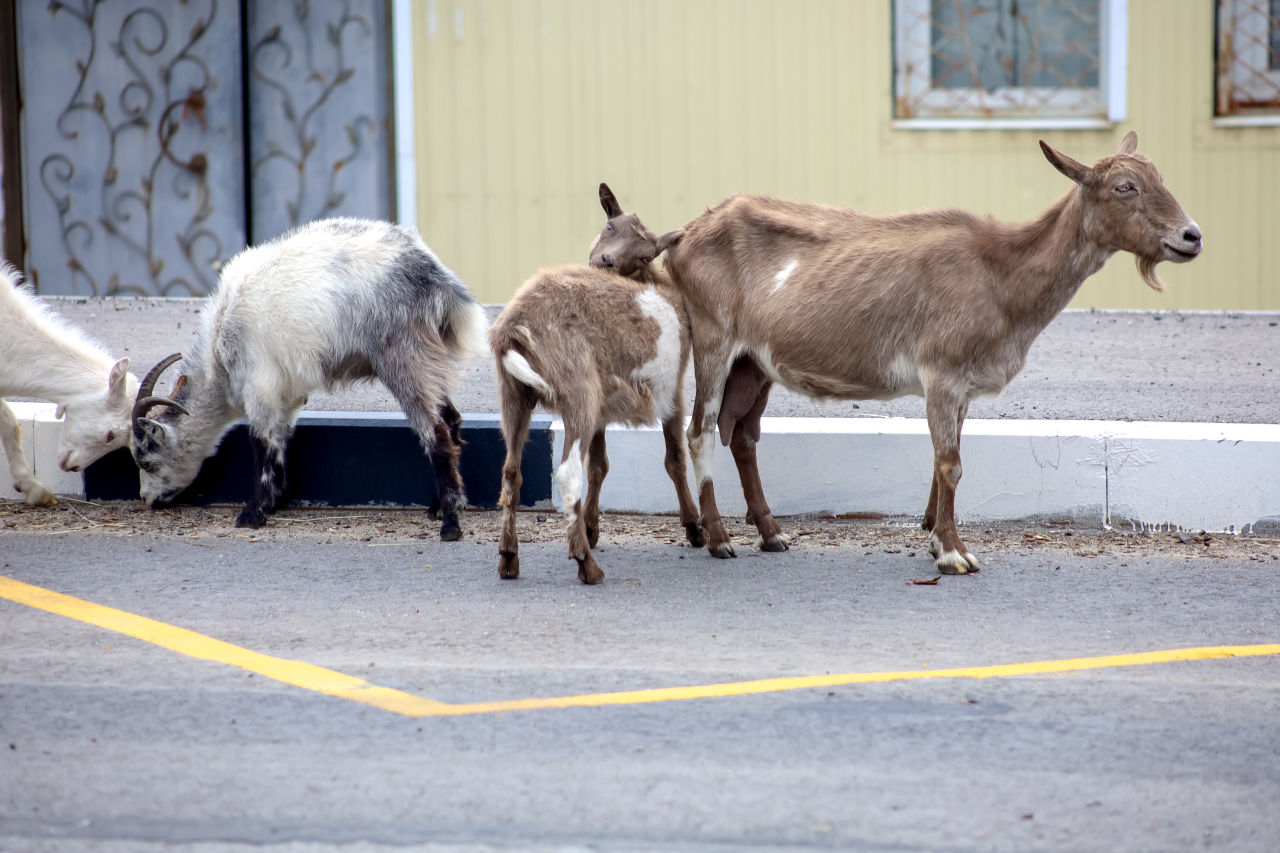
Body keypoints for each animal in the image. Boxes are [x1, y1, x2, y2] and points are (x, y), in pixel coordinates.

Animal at [488, 184, 706, 584]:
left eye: (647, 252)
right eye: (609, 225)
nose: (605, 260)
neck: (656, 285)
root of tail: (512, 329)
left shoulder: (604, 408)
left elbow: (600, 464)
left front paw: (591, 527)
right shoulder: (672, 392)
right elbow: (675, 459)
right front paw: (694, 528)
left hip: (515, 393)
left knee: (512, 471)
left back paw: (509, 559)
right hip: (578, 389)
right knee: (567, 473)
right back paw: (586, 565)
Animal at [660, 131, 1198, 571]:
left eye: (1159, 179)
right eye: (1124, 187)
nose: (1191, 236)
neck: (1000, 274)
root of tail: (685, 236)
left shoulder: (961, 384)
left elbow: (946, 461)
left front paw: (938, 542)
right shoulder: (942, 372)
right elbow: (950, 464)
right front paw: (955, 555)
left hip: (755, 363)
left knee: (742, 435)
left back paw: (772, 534)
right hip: (714, 338)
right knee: (700, 431)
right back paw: (719, 539)